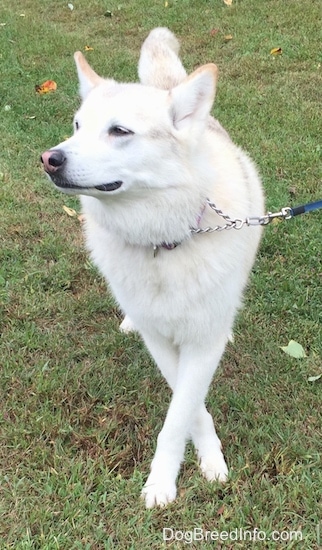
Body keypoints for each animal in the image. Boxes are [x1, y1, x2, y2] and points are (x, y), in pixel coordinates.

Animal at [41, 29, 264, 508]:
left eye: (119, 131)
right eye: (77, 126)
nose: (50, 158)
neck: (163, 244)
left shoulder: (201, 342)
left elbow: (180, 413)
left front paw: (181, 473)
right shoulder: (160, 340)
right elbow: (188, 407)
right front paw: (184, 467)